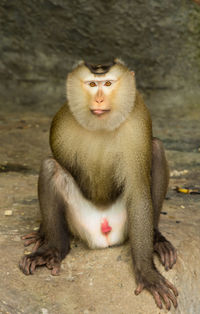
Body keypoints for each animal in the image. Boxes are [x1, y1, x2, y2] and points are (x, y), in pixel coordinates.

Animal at [19, 59, 177, 312]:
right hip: (78, 221)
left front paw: (146, 272)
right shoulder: (61, 123)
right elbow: (59, 163)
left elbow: (138, 192)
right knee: (51, 167)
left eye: (108, 83)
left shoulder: (139, 120)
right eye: (93, 84)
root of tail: (103, 233)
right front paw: (43, 232)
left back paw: (156, 238)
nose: (100, 100)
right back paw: (54, 248)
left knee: (156, 148)